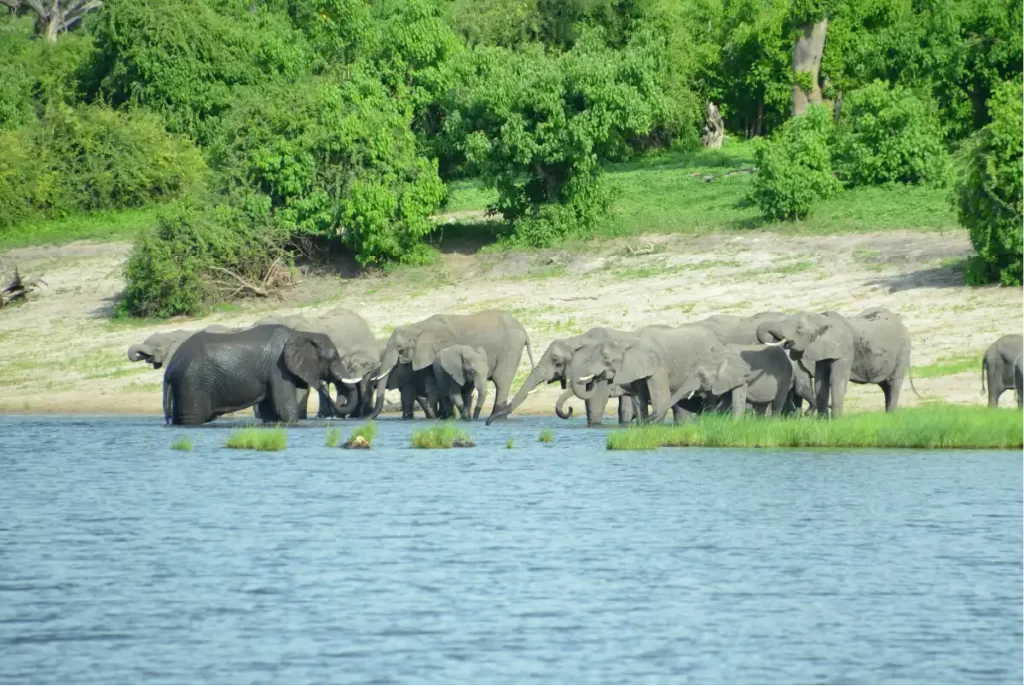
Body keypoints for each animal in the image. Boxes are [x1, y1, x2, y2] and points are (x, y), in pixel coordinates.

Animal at [162, 324, 352, 426]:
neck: (302, 333)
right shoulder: (279, 369)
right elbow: (285, 409)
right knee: (193, 418)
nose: (323, 386)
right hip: (193, 383)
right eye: (333, 357)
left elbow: (270, 412)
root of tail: (170, 367)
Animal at [371, 310, 534, 421]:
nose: (369, 417)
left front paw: (445, 416)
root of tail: (524, 331)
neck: (417, 327)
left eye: (399, 347)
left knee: (501, 382)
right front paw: (444, 416)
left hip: (510, 350)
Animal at [486, 327, 642, 426]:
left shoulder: (600, 366)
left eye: (556, 361)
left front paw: (595, 426)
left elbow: (596, 399)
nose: (487, 423)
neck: (576, 340)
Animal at [756, 307, 915, 417]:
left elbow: (837, 380)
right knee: (886, 387)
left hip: (903, 352)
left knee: (893, 384)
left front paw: (836, 420)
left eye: (799, 328)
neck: (823, 319)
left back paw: (891, 415)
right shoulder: (823, 349)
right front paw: (822, 420)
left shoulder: (845, 350)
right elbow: (820, 382)